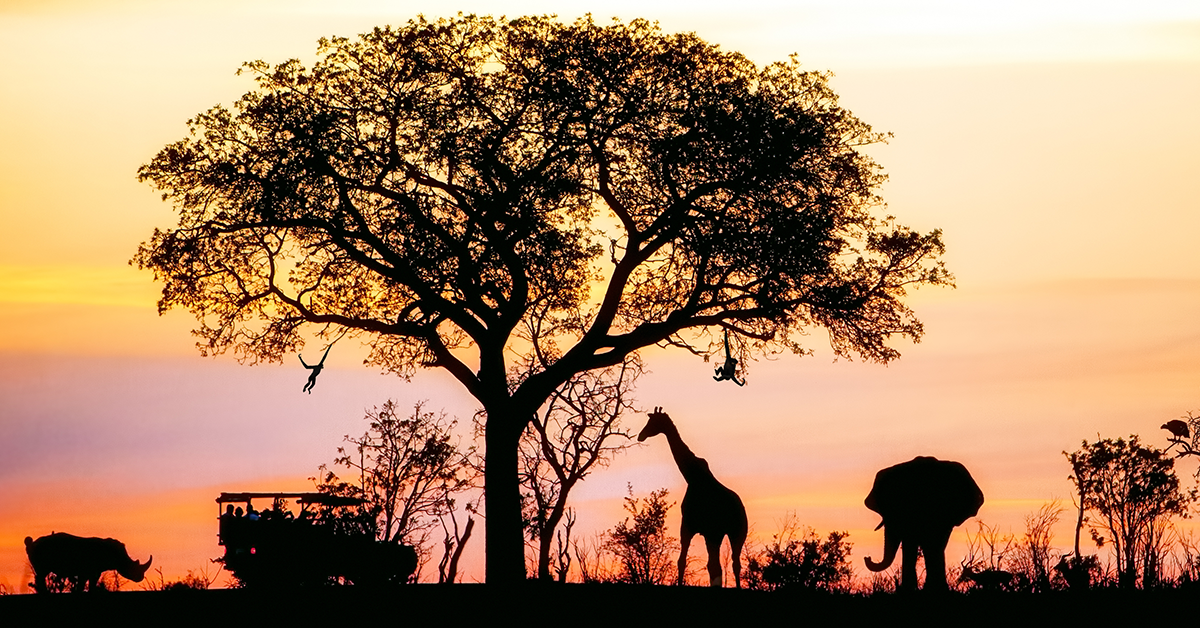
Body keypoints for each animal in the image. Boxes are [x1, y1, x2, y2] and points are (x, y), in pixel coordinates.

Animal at [24, 533, 152, 593]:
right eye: (132, 567)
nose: (140, 578)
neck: (119, 556)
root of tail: (31, 544)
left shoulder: (93, 571)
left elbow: (88, 585)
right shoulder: (87, 571)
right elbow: (84, 585)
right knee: (41, 574)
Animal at [643, 405, 744, 588]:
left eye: (653, 422)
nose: (641, 436)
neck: (692, 476)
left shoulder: (699, 528)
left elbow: (693, 563)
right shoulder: (696, 528)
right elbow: (685, 562)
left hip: (730, 533)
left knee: (728, 565)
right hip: (724, 534)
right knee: (723, 565)